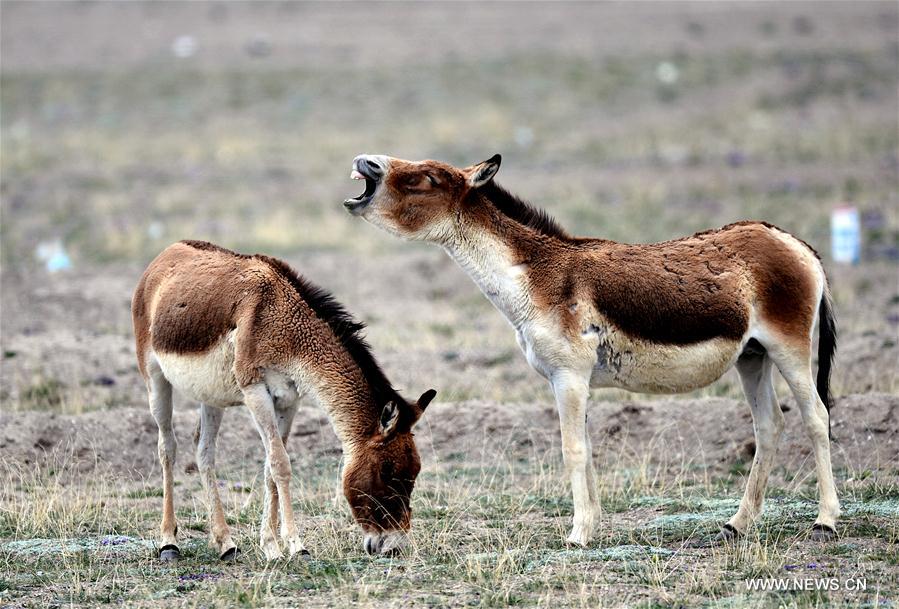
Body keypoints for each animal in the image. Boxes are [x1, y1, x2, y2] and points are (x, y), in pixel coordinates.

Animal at [132, 240, 436, 561]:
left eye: (415, 470)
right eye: (386, 470)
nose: (394, 546)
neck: (279, 317)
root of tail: (166, 254)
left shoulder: (289, 400)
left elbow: (270, 469)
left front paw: (270, 545)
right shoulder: (256, 392)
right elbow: (280, 464)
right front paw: (296, 546)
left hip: (211, 396)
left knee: (204, 453)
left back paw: (226, 544)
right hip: (155, 379)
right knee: (167, 448)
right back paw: (169, 543)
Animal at [343, 153, 838, 546]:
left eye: (427, 177)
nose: (367, 161)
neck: (540, 278)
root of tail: (795, 243)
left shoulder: (570, 377)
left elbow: (573, 450)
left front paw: (578, 534)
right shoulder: (568, 381)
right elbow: (586, 447)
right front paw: (593, 525)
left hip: (789, 348)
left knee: (816, 417)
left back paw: (826, 521)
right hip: (752, 357)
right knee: (770, 426)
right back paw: (738, 523)